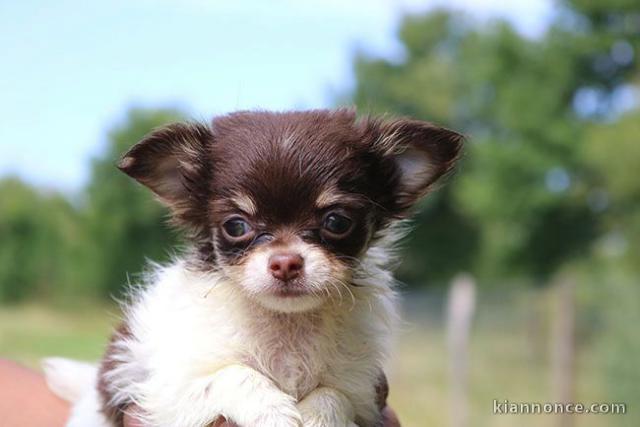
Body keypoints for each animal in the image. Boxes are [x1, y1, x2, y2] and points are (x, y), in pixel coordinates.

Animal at [46, 108, 464, 426]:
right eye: (236, 226)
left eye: (337, 222)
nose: (285, 262)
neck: (287, 327)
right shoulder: (164, 393)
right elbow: (231, 375)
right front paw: (273, 412)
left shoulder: (363, 393)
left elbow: (334, 395)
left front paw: (316, 416)